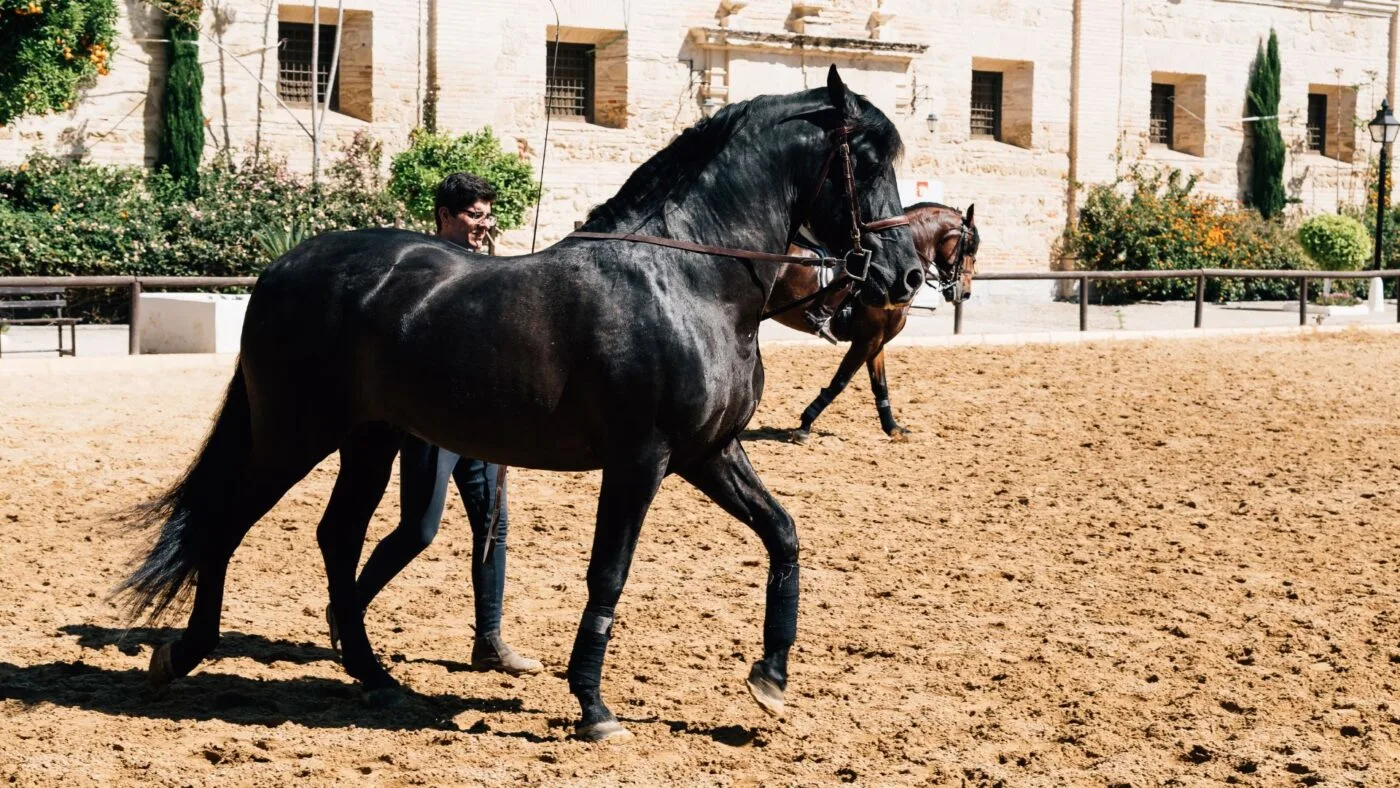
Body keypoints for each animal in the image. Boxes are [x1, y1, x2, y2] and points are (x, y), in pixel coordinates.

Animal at [117, 66, 922, 742]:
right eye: (868, 161)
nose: (906, 275)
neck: (688, 279)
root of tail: (281, 268)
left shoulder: (708, 452)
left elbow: (783, 535)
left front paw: (770, 679)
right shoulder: (641, 461)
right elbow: (609, 574)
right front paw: (594, 708)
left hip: (370, 440)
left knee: (337, 539)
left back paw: (375, 678)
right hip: (294, 434)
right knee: (227, 522)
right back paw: (182, 655)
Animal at [768, 203, 979, 443]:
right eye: (969, 248)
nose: (965, 293)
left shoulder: (878, 340)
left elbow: (880, 385)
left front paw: (893, 428)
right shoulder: (866, 340)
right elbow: (840, 382)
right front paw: (804, 425)